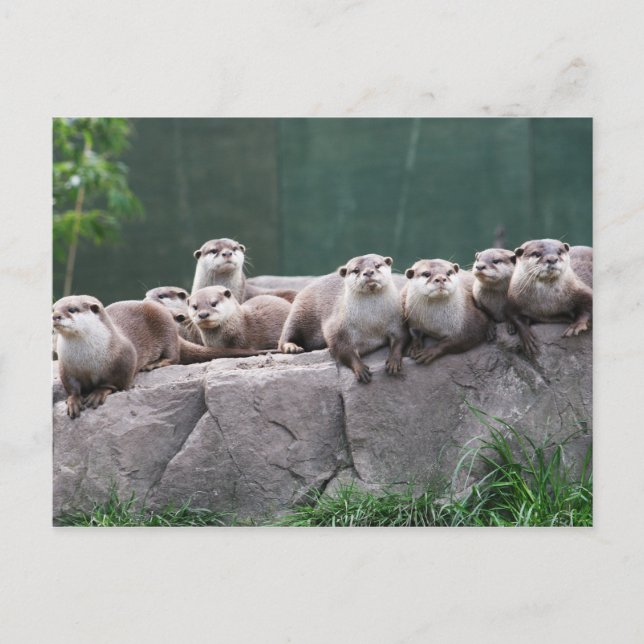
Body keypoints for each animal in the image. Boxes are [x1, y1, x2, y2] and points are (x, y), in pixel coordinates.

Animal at [53, 295, 268, 418]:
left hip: (165, 324)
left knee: (174, 355)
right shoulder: (66, 367)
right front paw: (73, 401)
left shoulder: (125, 357)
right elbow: (71, 386)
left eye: (72, 309)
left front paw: (99, 392)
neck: (87, 358)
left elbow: (115, 382)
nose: (55, 316)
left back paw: (156, 363)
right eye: (53, 308)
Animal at [279, 254, 408, 383]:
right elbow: (341, 348)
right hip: (298, 313)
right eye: (356, 270)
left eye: (377, 265)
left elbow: (401, 337)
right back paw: (292, 347)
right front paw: (360, 368)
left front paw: (394, 361)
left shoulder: (397, 319)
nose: (368, 272)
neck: (372, 322)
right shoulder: (338, 328)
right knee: (284, 337)